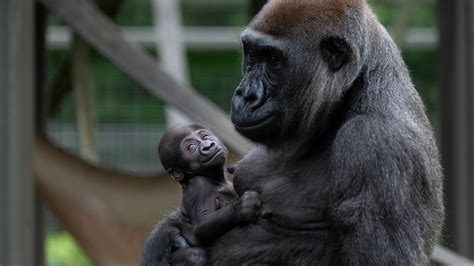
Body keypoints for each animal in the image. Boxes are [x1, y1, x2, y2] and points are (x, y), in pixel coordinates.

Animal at [141, 123, 262, 264]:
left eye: (205, 137)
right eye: (191, 147)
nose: (208, 146)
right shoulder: (199, 186)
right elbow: (201, 227)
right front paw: (241, 207)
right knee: (194, 255)